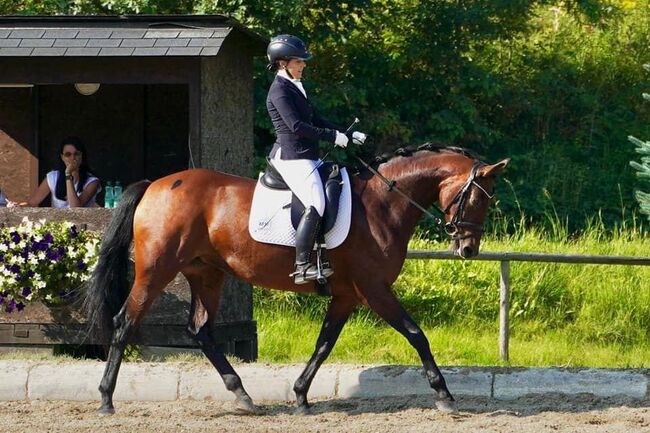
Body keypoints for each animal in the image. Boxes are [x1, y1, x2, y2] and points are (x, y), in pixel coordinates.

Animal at [83, 143, 506, 414]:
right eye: (477, 198)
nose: (469, 249)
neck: (382, 206)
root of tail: (154, 184)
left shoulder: (347, 295)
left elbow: (324, 344)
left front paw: (301, 395)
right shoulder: (374, 290)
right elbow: (417, 334)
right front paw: (444, 395)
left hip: (206, 273)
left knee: (199, 329)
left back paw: (243, 395)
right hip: (157, 270)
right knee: (124, 322)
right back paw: (105, 399)